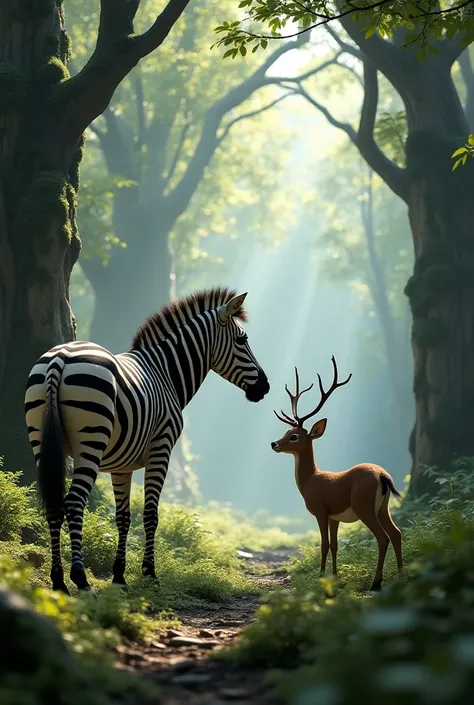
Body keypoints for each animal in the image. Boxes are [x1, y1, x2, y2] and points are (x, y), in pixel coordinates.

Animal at [25, 288, 268, 592]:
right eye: (242, 340)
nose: (265, 386)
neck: (166, 373)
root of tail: (60, 357)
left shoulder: (121, 465)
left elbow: (123, 517)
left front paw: (119, 576)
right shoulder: (161, 449)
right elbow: (151, 513)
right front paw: (149, 573)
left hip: (41, 441)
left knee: (55, 504)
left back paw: (58, 580)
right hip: (90, 444)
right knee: (74, 502)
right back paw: (80, 578)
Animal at [272, 354, 402, 592]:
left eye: (294, 436)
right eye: (287, 431)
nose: (274, 443)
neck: (310, 480)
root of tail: (382, 475)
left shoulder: (321, 510)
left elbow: (324, 544)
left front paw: (321, 577)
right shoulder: (335, 517)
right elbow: (335, 545)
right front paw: (334, 577)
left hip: (363, 505)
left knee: (383, 537)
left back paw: (376, 583)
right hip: (383, 507)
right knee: (396, 533)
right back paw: (401, 575)